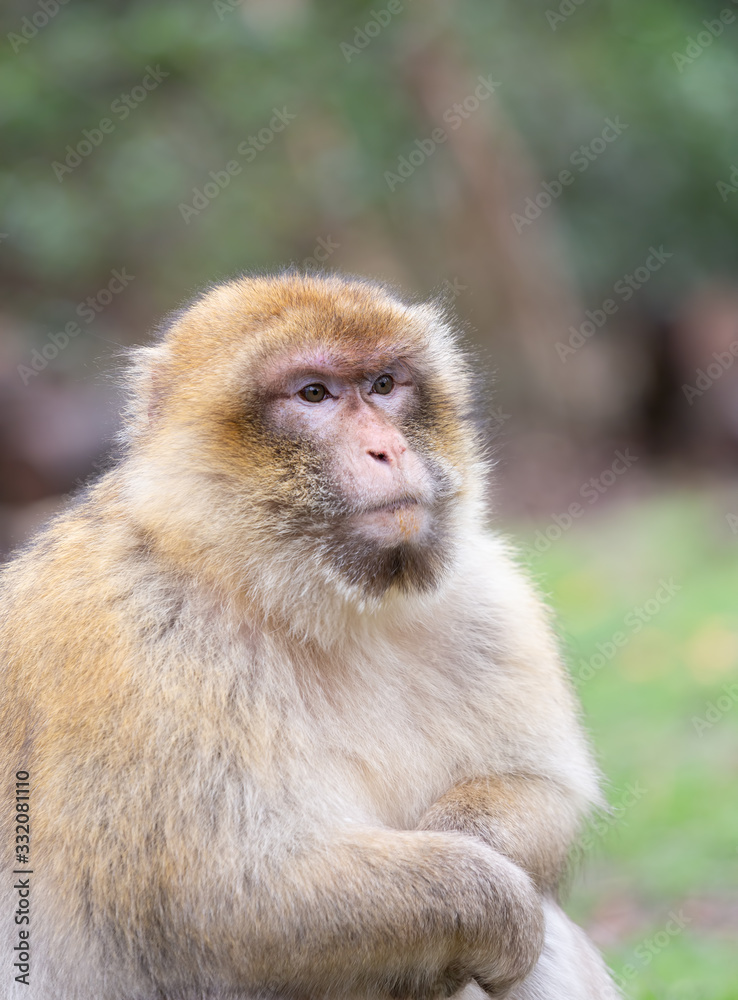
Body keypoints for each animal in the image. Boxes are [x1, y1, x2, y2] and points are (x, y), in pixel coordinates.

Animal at [1, 274, 616, 1000]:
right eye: (314, 394)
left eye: (384, 384)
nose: (388, 448)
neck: (303, 599)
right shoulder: (139, 647)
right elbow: (237, 899)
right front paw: (494, 901)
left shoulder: (488, 601)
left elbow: (539, 786)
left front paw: (469, 840)